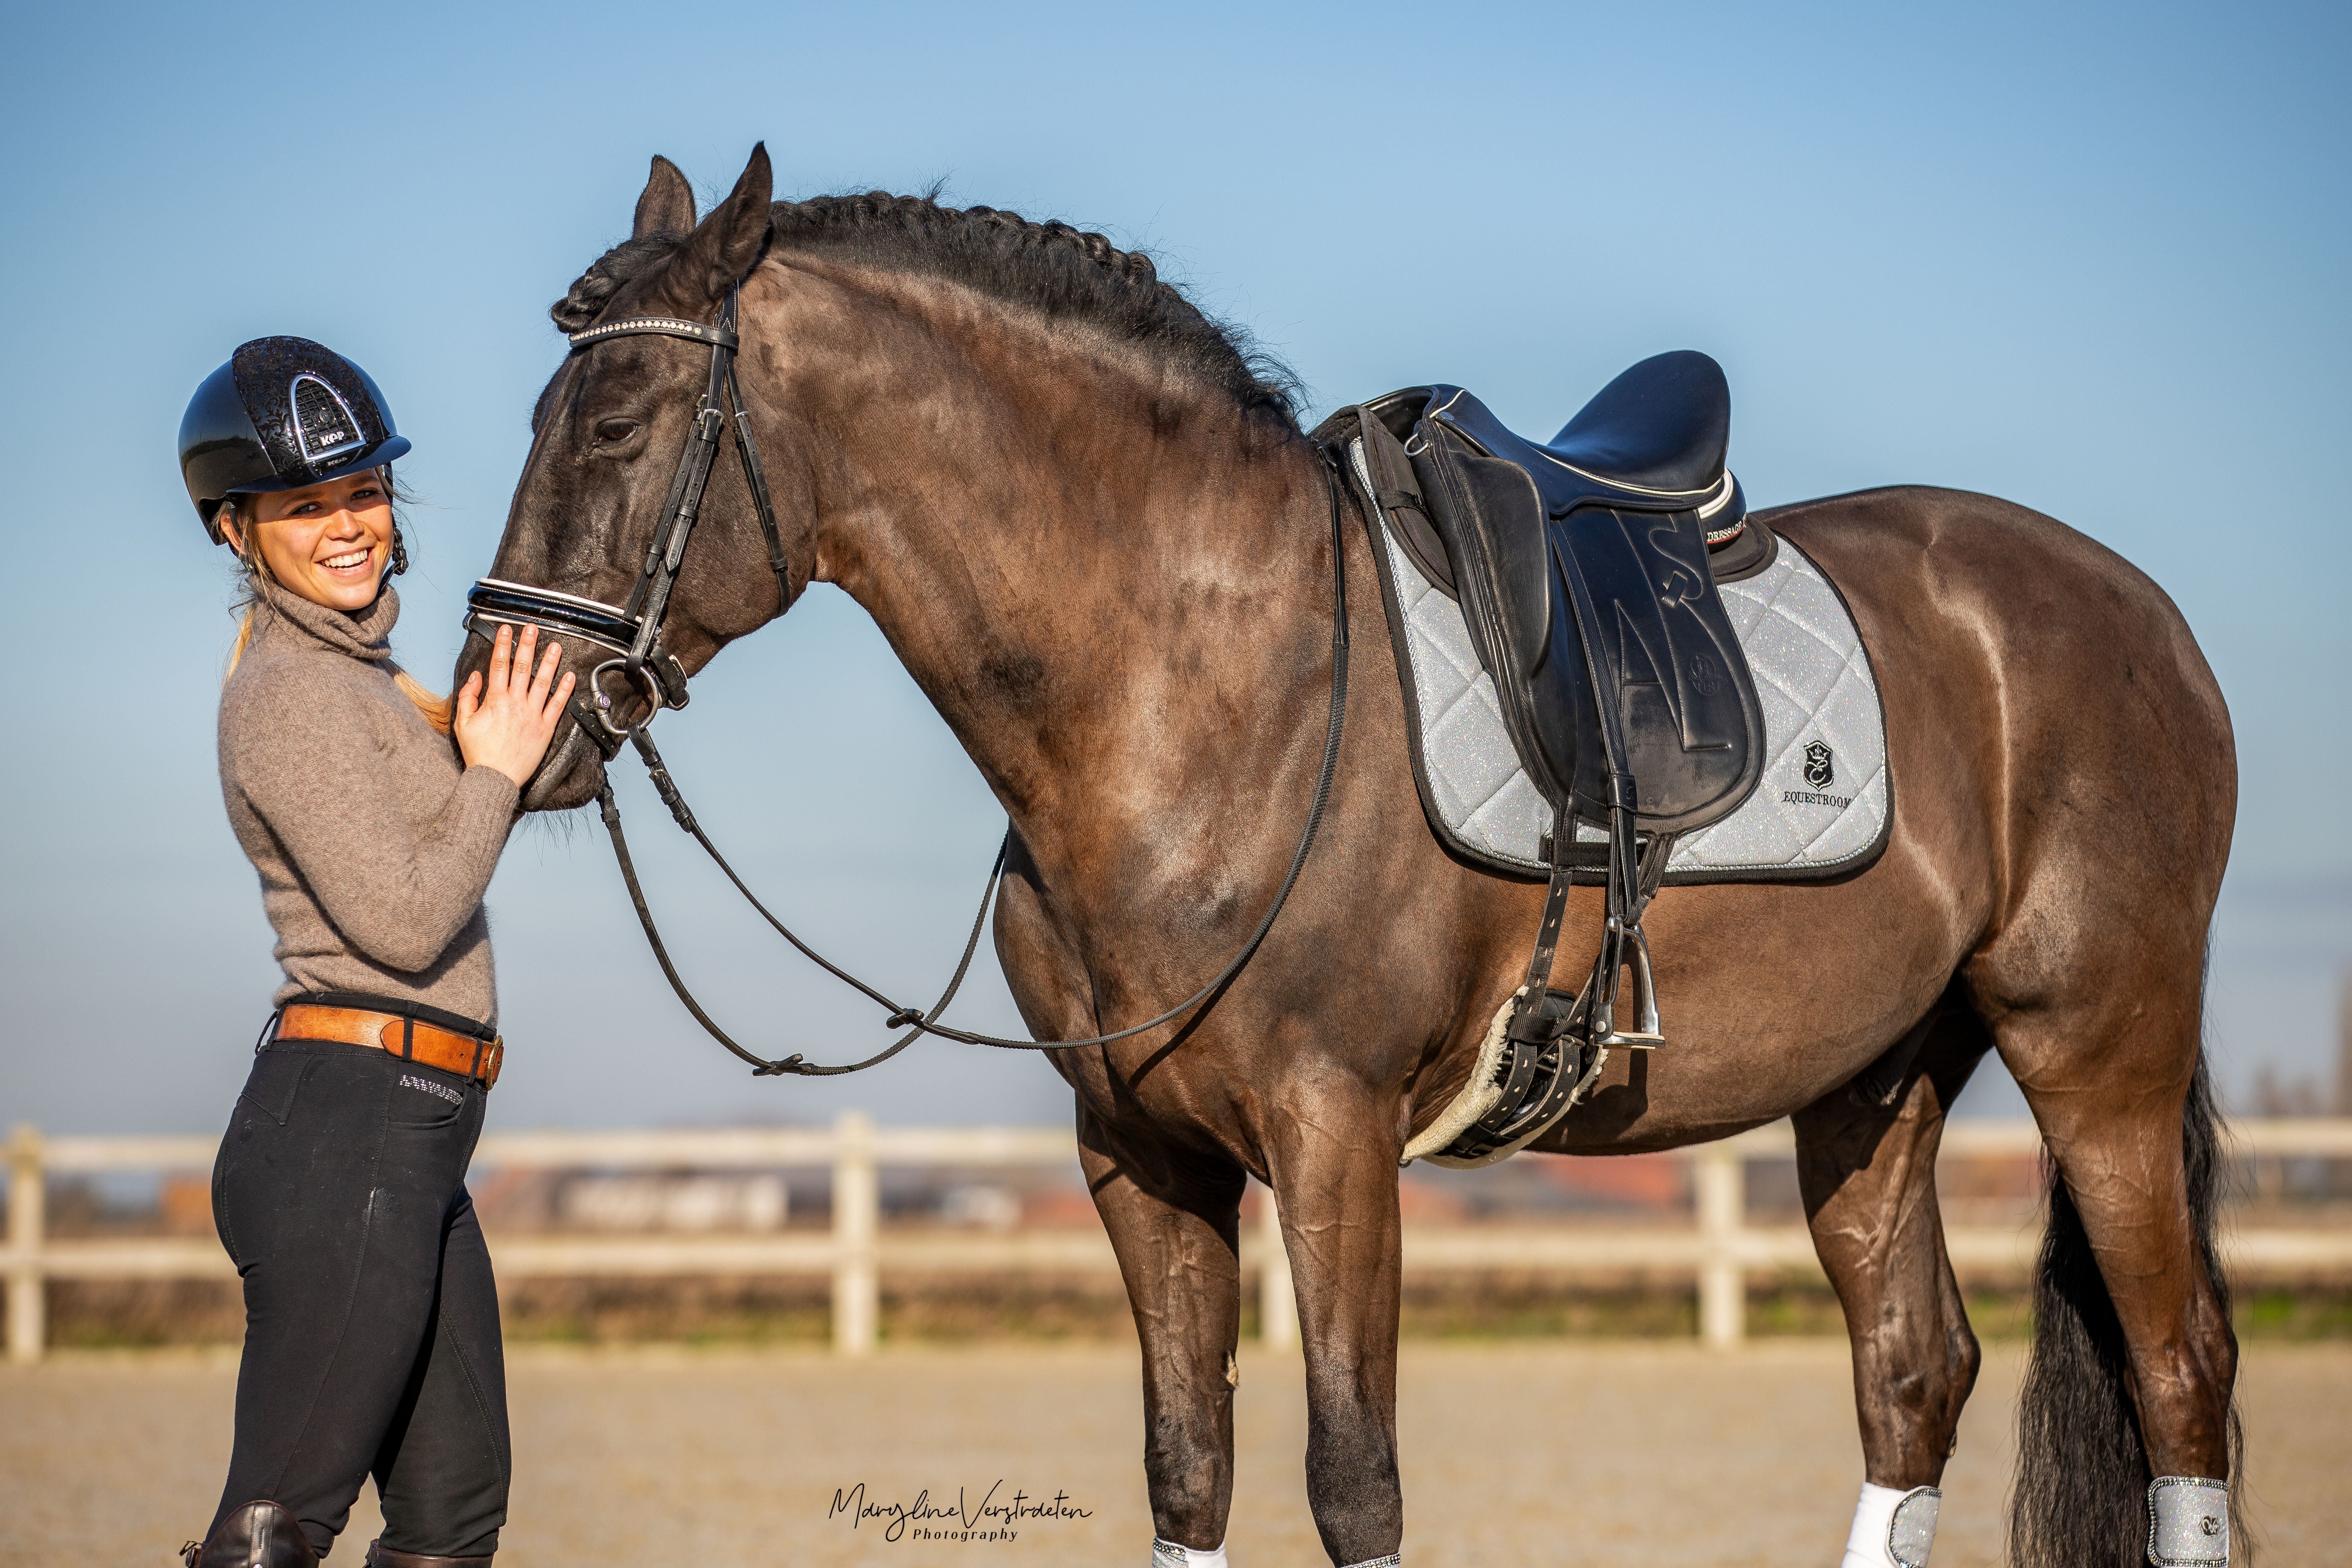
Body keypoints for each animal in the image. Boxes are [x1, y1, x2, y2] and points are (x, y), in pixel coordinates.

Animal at [463, 141, 2239, 1561]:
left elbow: (1351, 1478)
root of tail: (2139, 610)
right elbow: (1188, 1465)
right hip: (1872, 1082)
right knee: (1910, 1372)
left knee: (2176, 1376)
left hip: (2096, 1052)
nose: (500, 712)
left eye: (615, 420)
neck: (1199, 688)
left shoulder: (1334, 1137)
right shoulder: (1140, 1156)